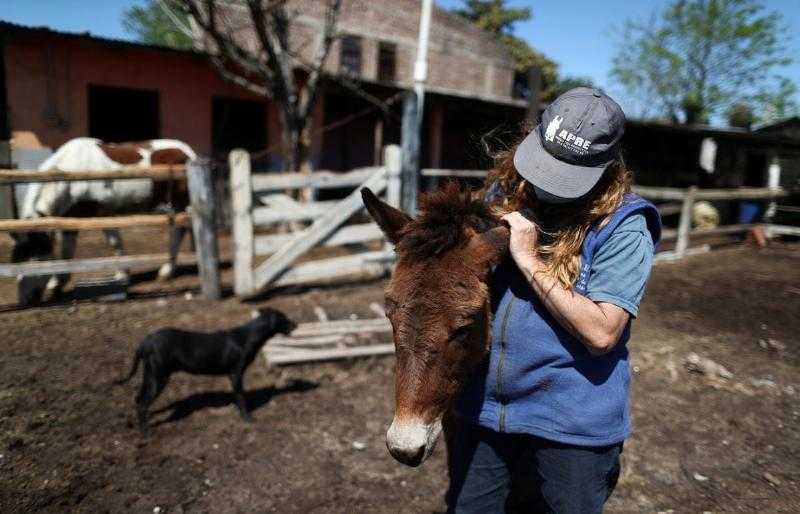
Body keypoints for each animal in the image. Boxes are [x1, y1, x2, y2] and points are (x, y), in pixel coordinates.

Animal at [13, 138, 197, 302]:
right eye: (16, 260)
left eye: (35, 260)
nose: (25, 300)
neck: (68, 175)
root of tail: (188, 152)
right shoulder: (67, 218)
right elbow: (65, 252)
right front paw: (56, 283)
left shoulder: (101, 213)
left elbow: (111, 244)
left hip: (180, 204)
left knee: (179, 231)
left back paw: (168, 270)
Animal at [115, 306, 294, 434]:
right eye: (284, 318)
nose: (296, 324)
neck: (248, 337)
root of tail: (145, 341)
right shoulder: (235, 374)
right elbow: (241, 397)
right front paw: (247, 418)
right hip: (159, 378)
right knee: (142, 404)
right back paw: (146, 433)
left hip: (150, 375)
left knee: (139, 399)